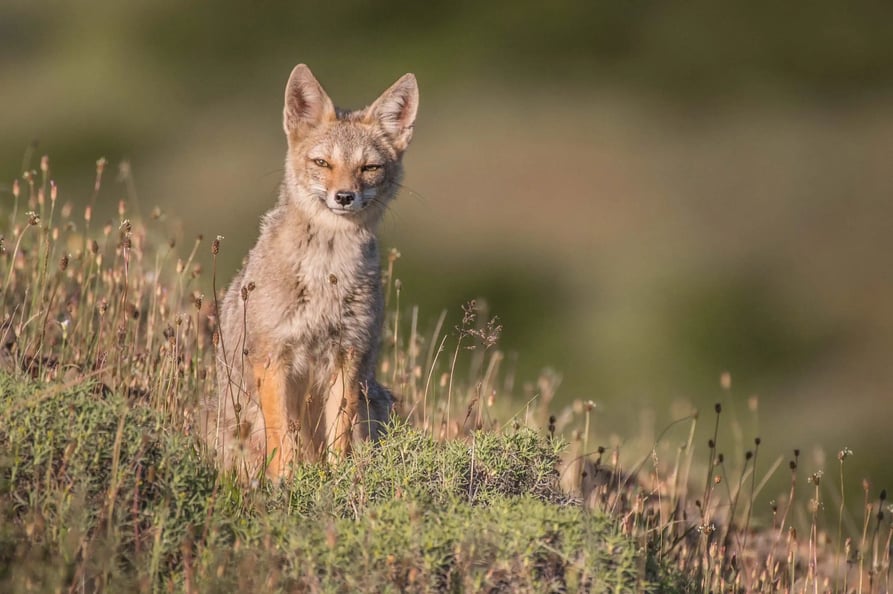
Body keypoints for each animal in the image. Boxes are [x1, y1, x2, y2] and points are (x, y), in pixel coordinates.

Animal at [207, 65, 420, 478]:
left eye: (370, 168)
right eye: (322, 163)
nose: (344, 197)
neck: (327, 272)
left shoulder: (348, 355)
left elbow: (339, 437)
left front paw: (337, 479)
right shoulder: (272, 356)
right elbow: (282, 436)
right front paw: (287, 481)